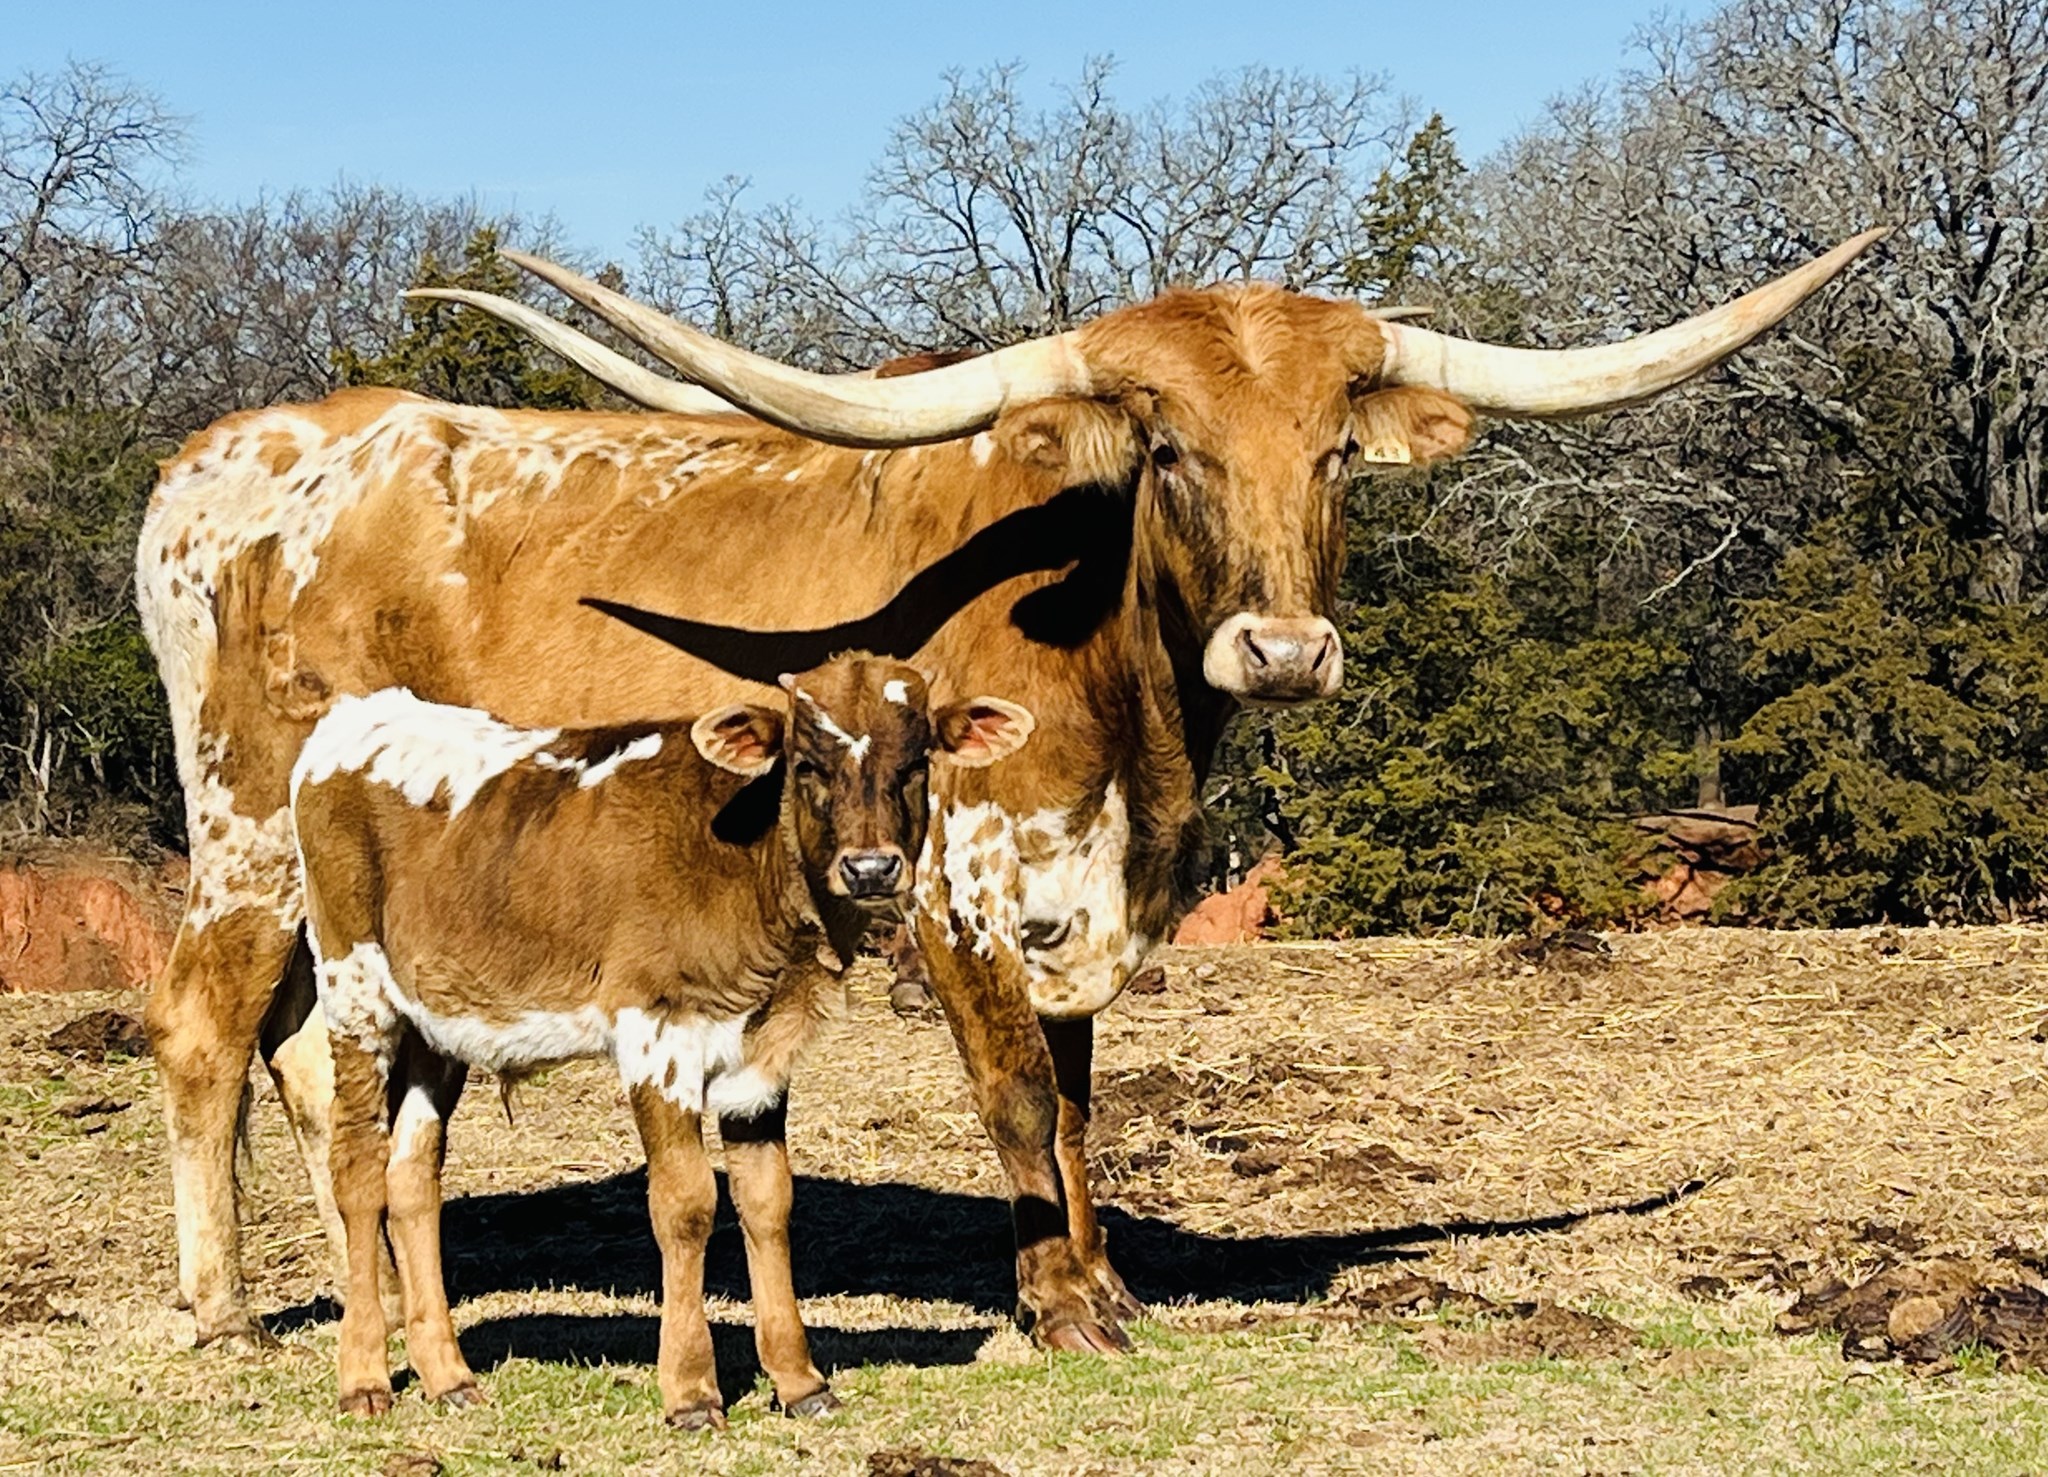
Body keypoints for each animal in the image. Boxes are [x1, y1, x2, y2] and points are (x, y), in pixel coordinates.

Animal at [292, 654, 1034, 1423]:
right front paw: (690, 1387)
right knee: (357, 1168)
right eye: (806, 764)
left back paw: (447, 1373)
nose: (871, 868)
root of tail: (363, 715)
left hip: (436, 1023)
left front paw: (799, 1379)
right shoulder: (658, 1029)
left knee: (412, 1177)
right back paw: (364, 1375)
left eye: (916, 763)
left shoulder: (762, 1051)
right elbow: (685, 1202)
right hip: (353, 985)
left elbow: (767, 1201)